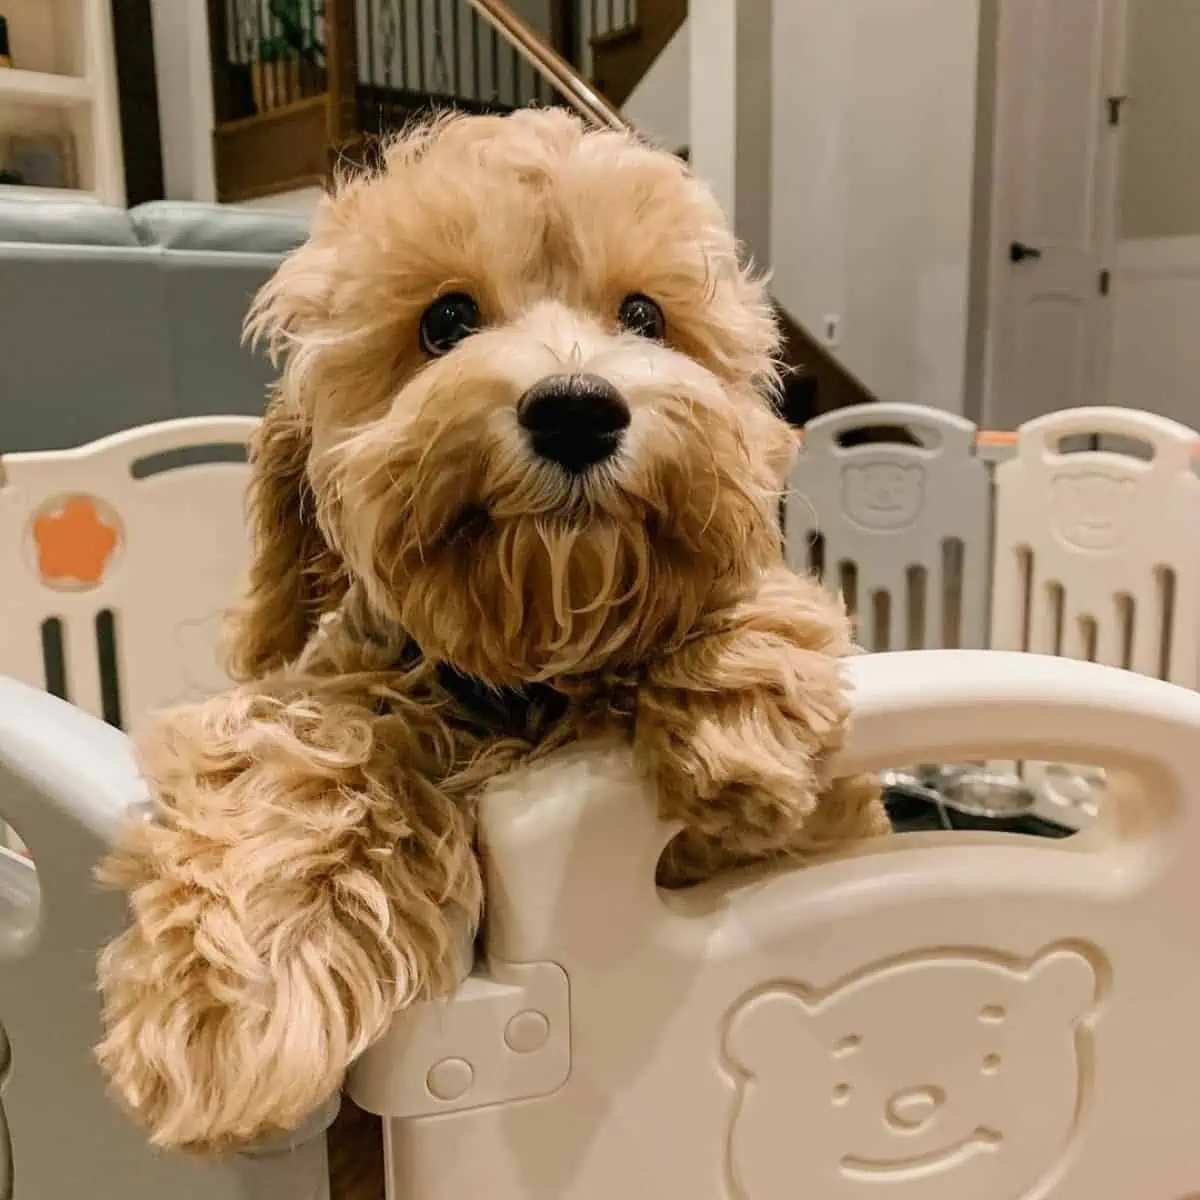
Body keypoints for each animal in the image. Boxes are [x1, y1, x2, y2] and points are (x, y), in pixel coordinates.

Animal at [93, 105, 888, 1190]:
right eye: (444, 322)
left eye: (645, 316)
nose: (578, 406)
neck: (537, 656)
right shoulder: (338, 688)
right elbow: (298, 749)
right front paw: (237, 997)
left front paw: (740, 708)